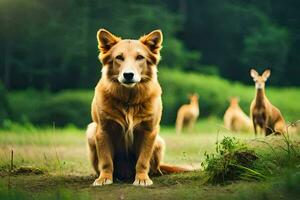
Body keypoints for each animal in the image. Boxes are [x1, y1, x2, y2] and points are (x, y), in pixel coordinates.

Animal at [86, 28, 188, 187]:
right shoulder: (103, 130)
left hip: (159, 141)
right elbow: (106, 161)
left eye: (140, 57)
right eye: (119, 57)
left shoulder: (149, 131)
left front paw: (142, 179)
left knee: (155, 168)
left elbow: (142, 161)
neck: (128, 101)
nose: (128, 75)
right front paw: (104, 178)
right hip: (91, 131)